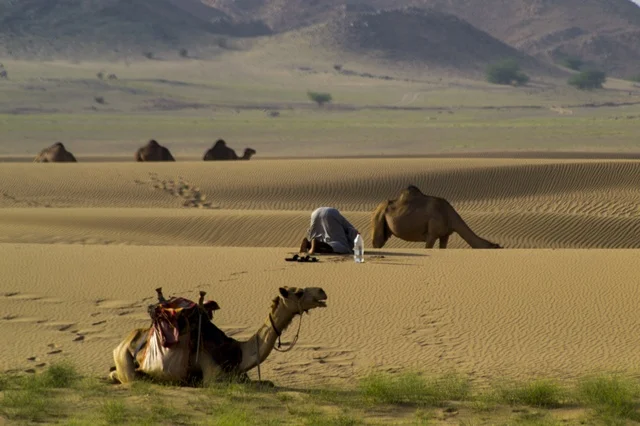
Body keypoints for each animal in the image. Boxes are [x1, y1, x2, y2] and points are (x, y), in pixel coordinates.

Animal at [109, 286, 327, 385]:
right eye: (298, 292)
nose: (322, 291)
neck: (239, 353)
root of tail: (122, 343)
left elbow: (266, 383)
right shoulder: (212, 374)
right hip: (125, 360)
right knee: (126, 376)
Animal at [371, 185, 502, 249]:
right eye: (496, 248)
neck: (449, 215)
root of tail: (376, 208)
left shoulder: (445, 235)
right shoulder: (432, 234)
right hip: (378, 219)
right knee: (376, 243)